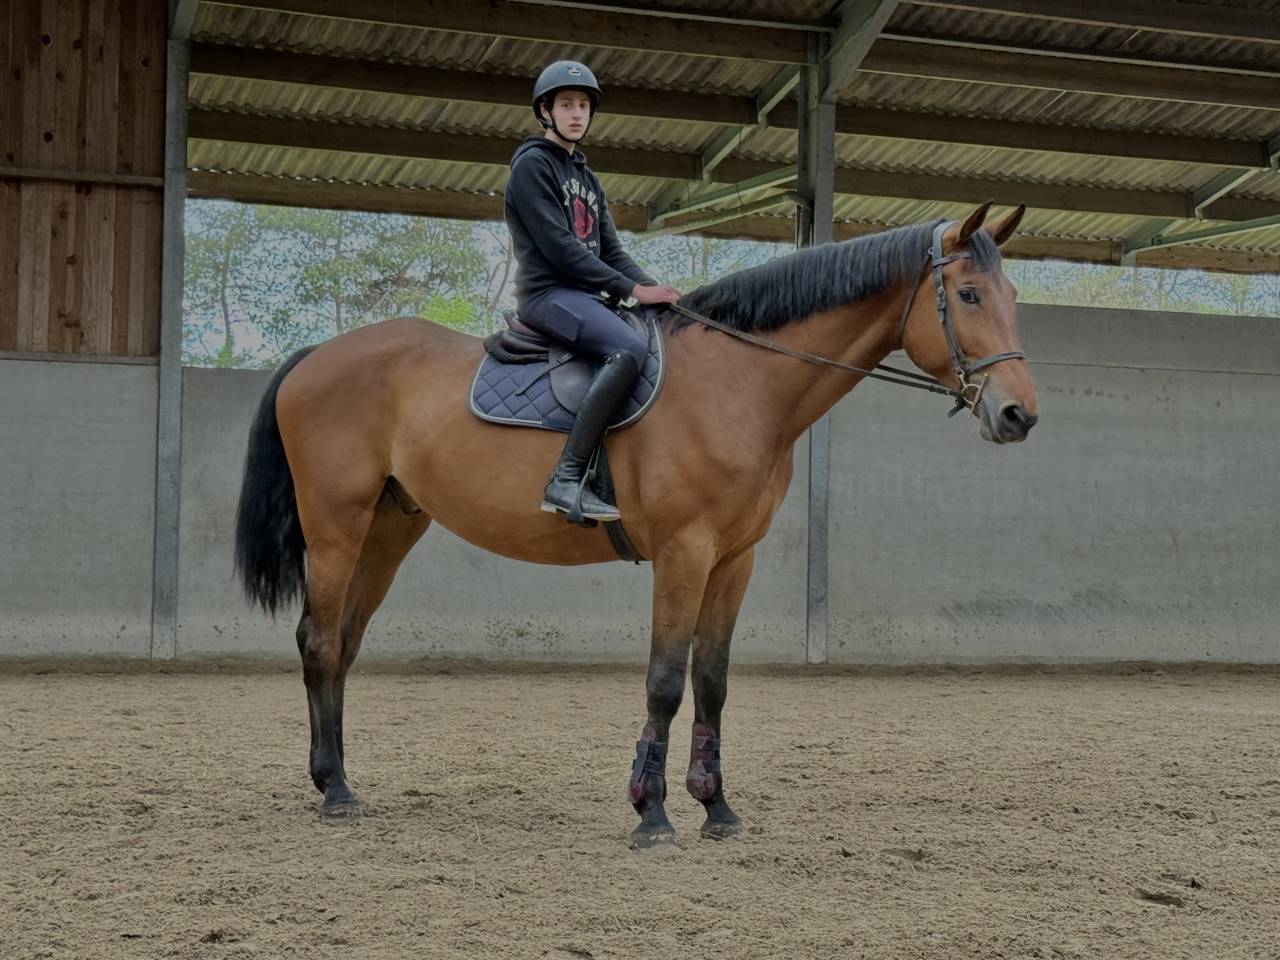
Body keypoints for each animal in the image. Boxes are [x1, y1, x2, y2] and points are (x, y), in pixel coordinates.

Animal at [233, 202, 1039, 848]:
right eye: (968, 293)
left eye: (1012, 296)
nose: (1018, 415)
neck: (739, 383)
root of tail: (318, 356)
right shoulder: (684, 553)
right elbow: (665, 682)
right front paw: (651, 814)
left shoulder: (733, 560)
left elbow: (711, 681)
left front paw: (717, 809)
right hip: (335, 530)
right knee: (318, 642)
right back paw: (334, 792)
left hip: (388, 531)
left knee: (342, 645)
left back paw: (337, 780)